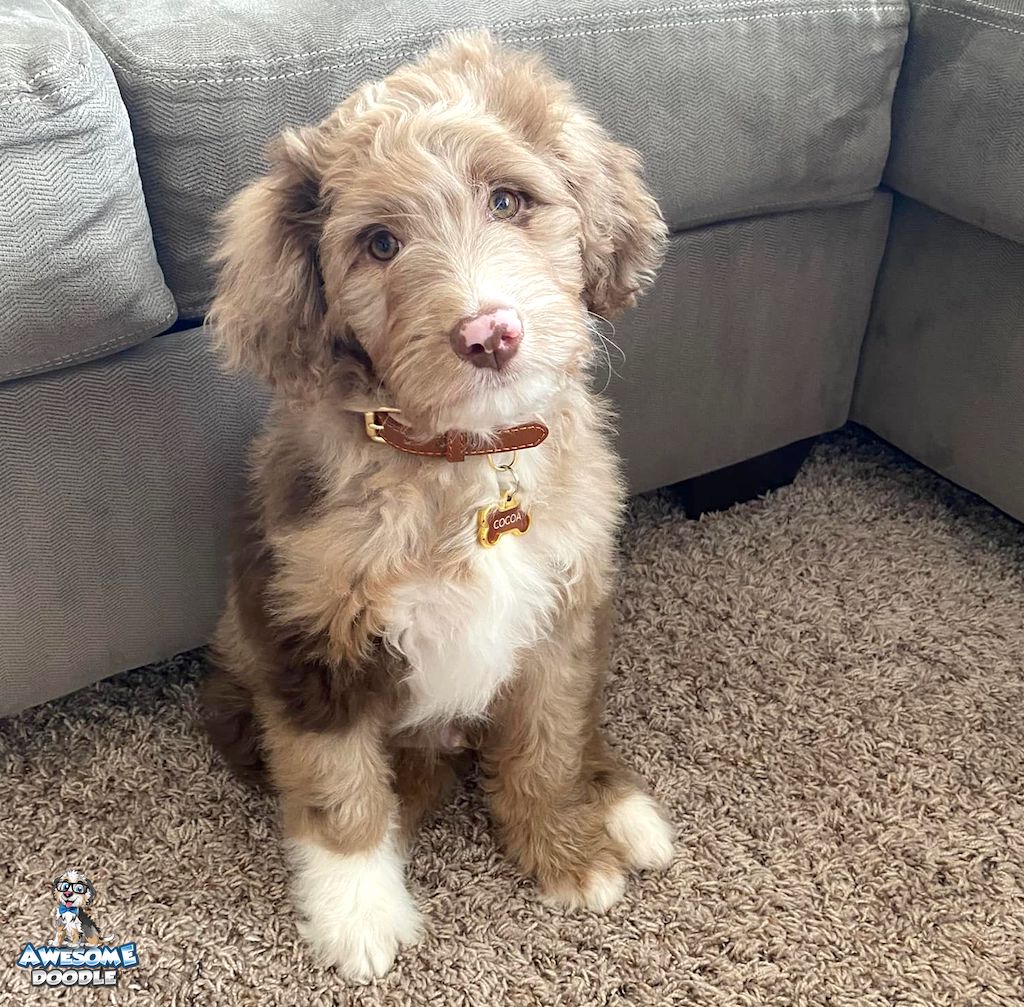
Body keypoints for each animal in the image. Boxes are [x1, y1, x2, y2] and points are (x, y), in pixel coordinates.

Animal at [204, 33, 675, 983]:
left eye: (509, 200)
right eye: (380, 243)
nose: (489, 334)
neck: (468, 457)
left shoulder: (562, 606)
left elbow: (549, 739)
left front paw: (564, 848)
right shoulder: (311, 637)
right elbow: (337, 784)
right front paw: (358, 914)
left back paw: (621, 806)